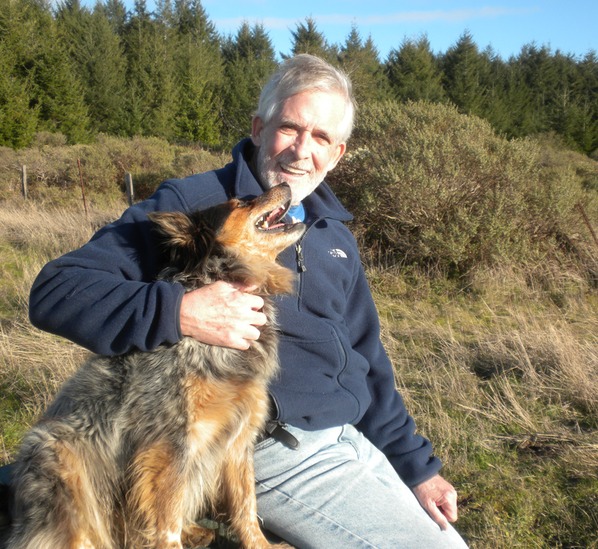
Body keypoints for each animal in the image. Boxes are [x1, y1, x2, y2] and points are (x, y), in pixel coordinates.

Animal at [7, 185, 302, 548]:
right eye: (239, 203)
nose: (284, 186)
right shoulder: (166, 447)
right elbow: (166, 524)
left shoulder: (237, 440)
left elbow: (246, 509)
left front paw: (260, 544)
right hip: (62, 468)